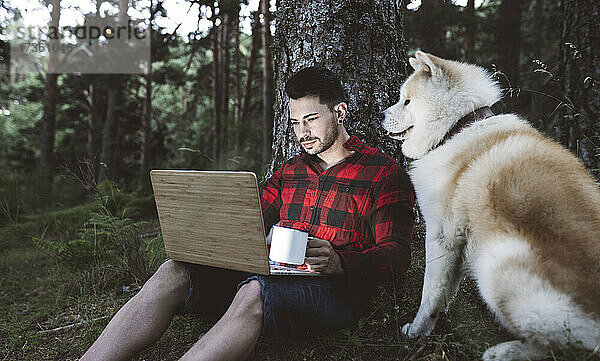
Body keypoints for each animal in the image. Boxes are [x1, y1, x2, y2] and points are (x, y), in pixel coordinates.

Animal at [384, 51, 600, 360]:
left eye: (407, 101)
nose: (381, 115)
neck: (459, 128)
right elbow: (446, 290)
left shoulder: (441, 235)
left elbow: (430, 293)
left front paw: (417, 331)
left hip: (496, 264)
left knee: (572, 346)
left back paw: (506, 351)